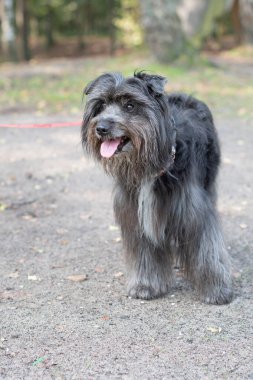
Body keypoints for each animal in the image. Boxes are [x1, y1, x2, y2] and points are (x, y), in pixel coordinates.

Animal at [81, 70, 233, 302]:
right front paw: (145, 285)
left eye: (130, 105)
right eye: (101, 105)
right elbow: (144, 253)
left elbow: (206, 249)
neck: (151, 166)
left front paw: (216, 290)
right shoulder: (136, 214)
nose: (101, 128)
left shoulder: (193, 210)